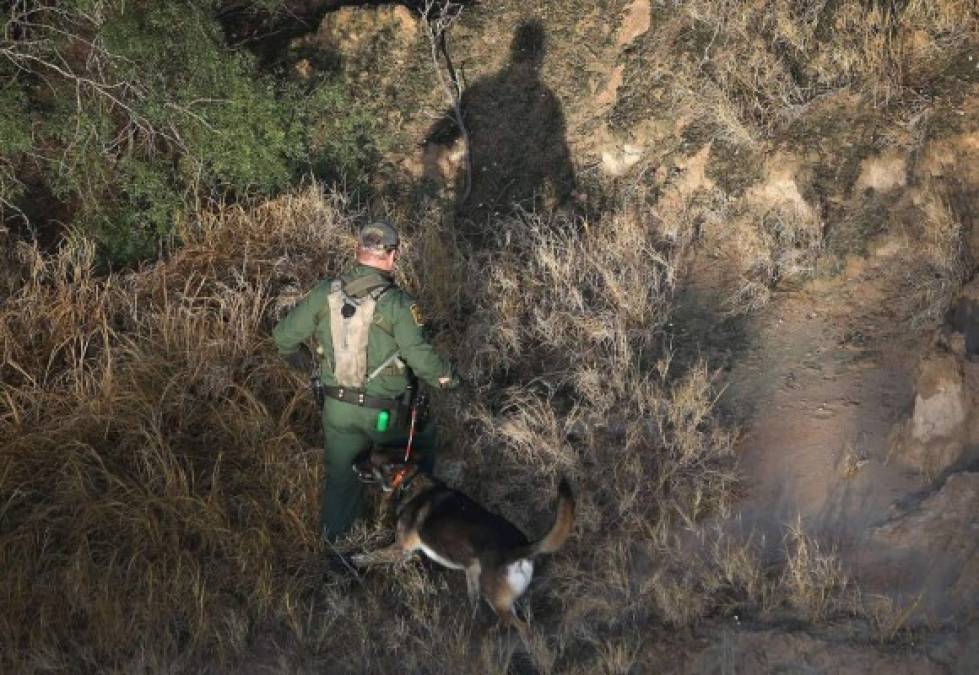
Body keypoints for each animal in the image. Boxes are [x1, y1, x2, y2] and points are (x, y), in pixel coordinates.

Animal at [352, 452, 580, 632]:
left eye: (370, 458)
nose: (353, 462)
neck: (408, 480)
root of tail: (522, 547)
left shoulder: (401, 550)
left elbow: (372, 556)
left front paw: (355, 560)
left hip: (492, 596)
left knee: (523, 628)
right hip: (480, 585)